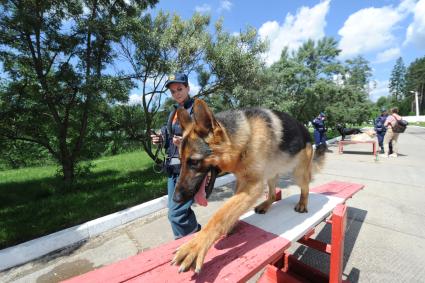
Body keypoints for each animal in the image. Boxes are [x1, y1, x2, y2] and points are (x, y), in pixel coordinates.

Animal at [171, 99, 322, 272]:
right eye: (181, 162)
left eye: (194, 162)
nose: (175, 199)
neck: (244, 139)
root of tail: (306, 129)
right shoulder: (242, 181)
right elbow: (231, 208)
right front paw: (231, 224)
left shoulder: (253, 186)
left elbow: (222, 213)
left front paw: (196, 245)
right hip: (271, 174)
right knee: (272, 194)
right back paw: (265, 205)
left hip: (299, 173)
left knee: (306, 188)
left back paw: (302, 204)